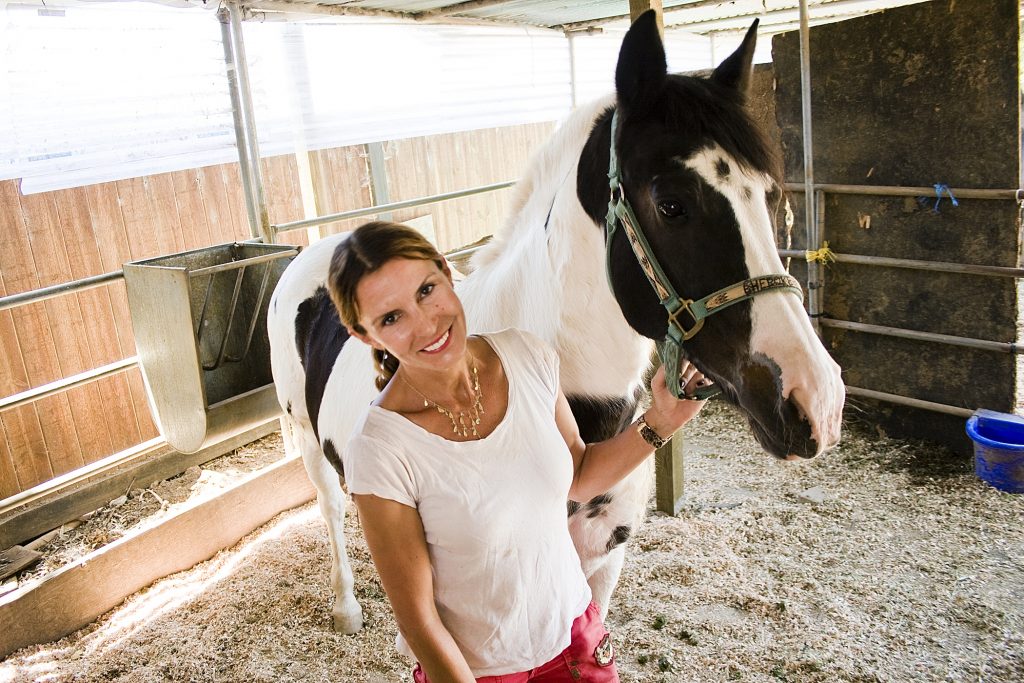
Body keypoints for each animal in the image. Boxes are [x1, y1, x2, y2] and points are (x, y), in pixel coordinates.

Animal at [268, 12, 843, 634]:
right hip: (306, 441)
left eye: (768, 194)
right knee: (330, 507)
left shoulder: (600, 562)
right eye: (672, 204)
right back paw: (347, 606)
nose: (816, 399)